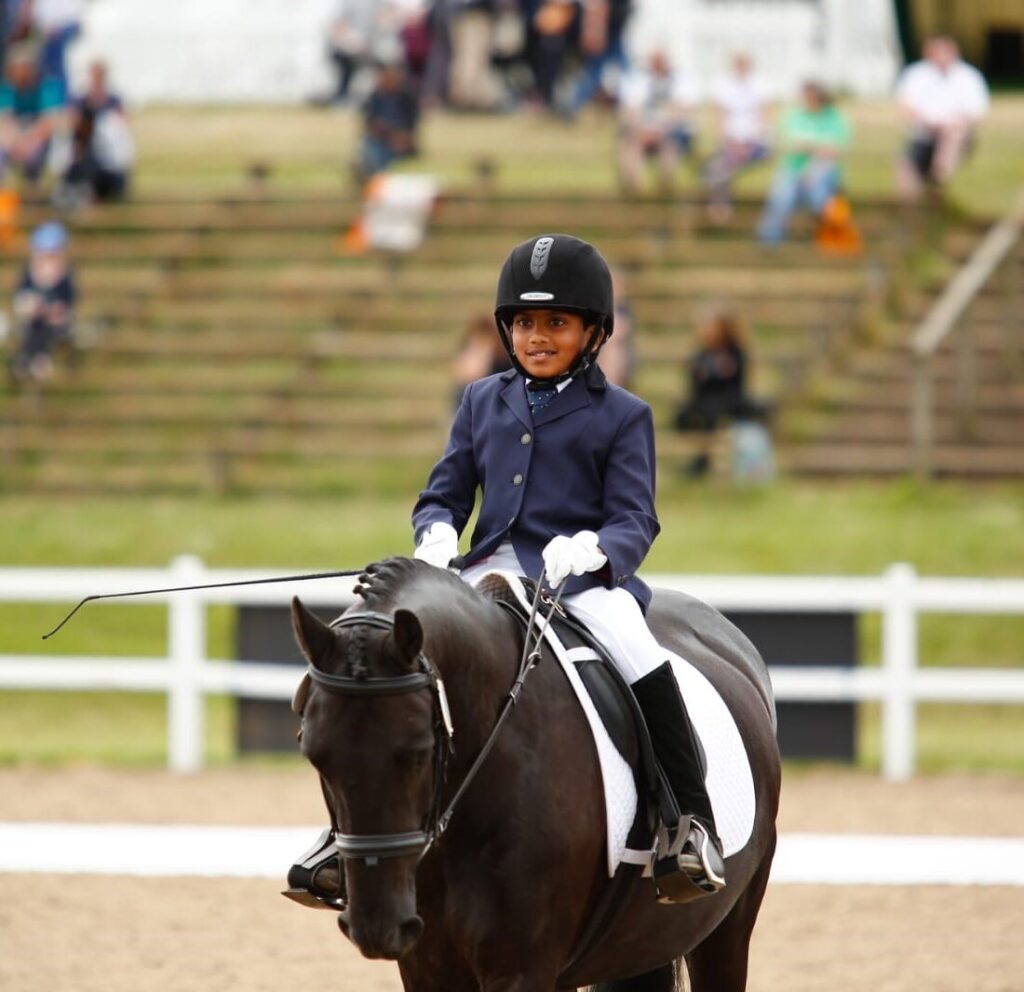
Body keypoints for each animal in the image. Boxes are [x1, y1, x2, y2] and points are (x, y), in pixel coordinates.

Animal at [292, 556, 778, 990]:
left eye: (418, 753)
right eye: (314, 755)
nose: (378, 927)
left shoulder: (522, 967)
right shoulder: (427, 969)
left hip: (728, 926)